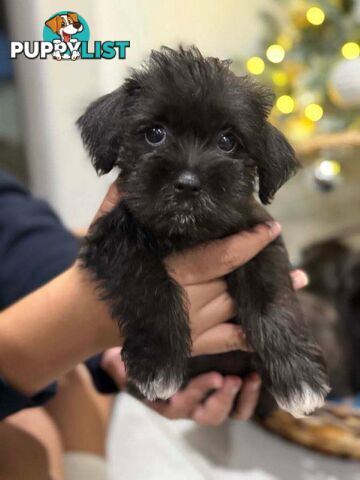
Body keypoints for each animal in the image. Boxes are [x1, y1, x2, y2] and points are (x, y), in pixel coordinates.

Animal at [78, 47, 330, 418]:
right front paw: (158, 363)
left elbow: (271, 299)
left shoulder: (260, 240)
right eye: (155, 133)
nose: (187, 184)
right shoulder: (113, 239)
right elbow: (148, 285)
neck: (190, 235)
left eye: (228, 141)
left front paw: (299, 377)